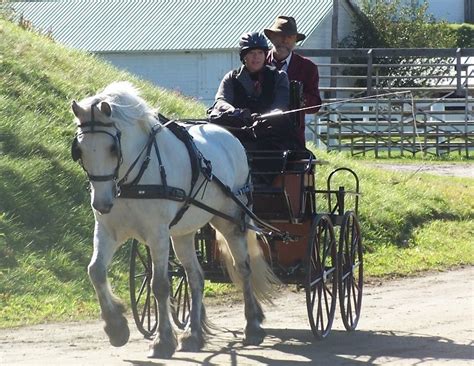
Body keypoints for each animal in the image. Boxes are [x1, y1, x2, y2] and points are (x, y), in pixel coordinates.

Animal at [71, 81, 278, 358]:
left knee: (243, 268)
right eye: (79, 149)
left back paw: (252, 326)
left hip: (232, 221)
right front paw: (116, 327)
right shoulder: (107, 230)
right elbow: (95, 271)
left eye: (113, 148)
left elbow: (159, 284)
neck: (134, 176)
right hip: (183, 233)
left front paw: (163, 341)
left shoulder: (158, 234)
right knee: (196, 276)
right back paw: (194, 334)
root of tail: (230, 136)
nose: (102, 203)